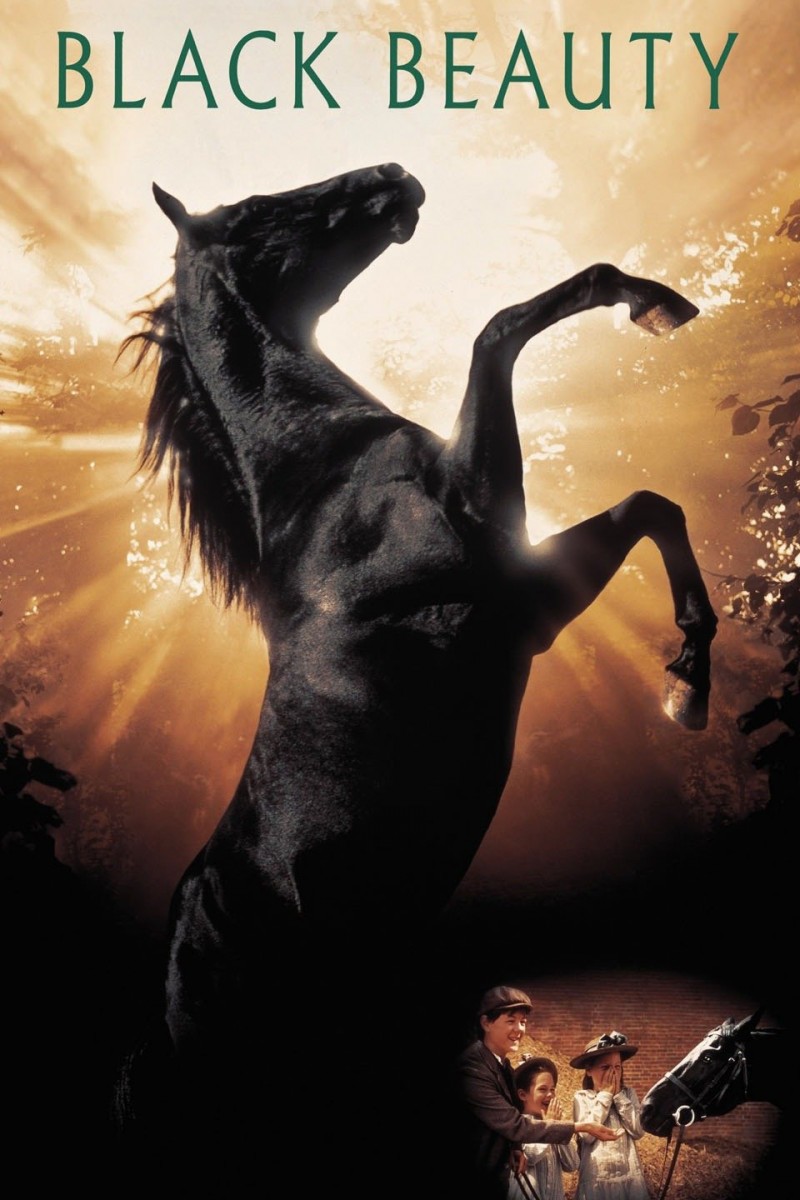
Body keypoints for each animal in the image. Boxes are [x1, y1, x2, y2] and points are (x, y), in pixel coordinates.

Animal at [119, 162, 717, 1193]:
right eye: (255, 212)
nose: (391, 177)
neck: (330, 480)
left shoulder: (533, 596)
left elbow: (653, 503)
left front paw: (689, 680)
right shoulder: (511, 590)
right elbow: (499, 331)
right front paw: (652, 305)